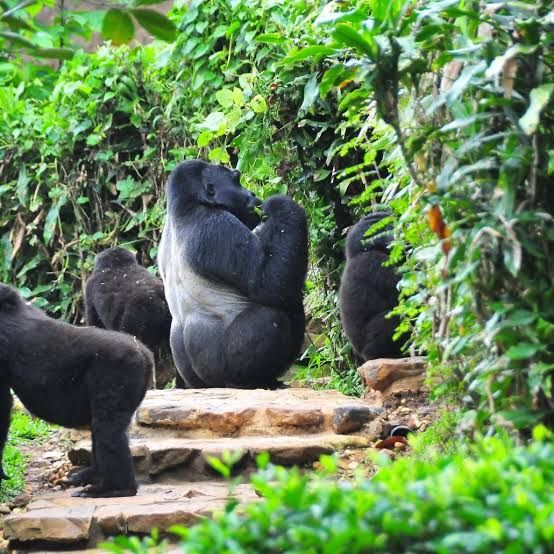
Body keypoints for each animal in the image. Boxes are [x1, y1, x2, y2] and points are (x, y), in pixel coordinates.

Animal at [157, 157, 308, 386]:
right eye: (236, 180)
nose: (252, 193)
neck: (185, 207)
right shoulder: (215, 226)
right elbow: (270, 284)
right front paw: (279, 205)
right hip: (222, 374)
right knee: (275, 313)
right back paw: (258, 381)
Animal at [336, 212, 406, 362]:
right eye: (387, 227)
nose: (398, 233)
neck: (358, 252)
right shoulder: (373, 262)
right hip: (370, 349)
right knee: (393, 314)